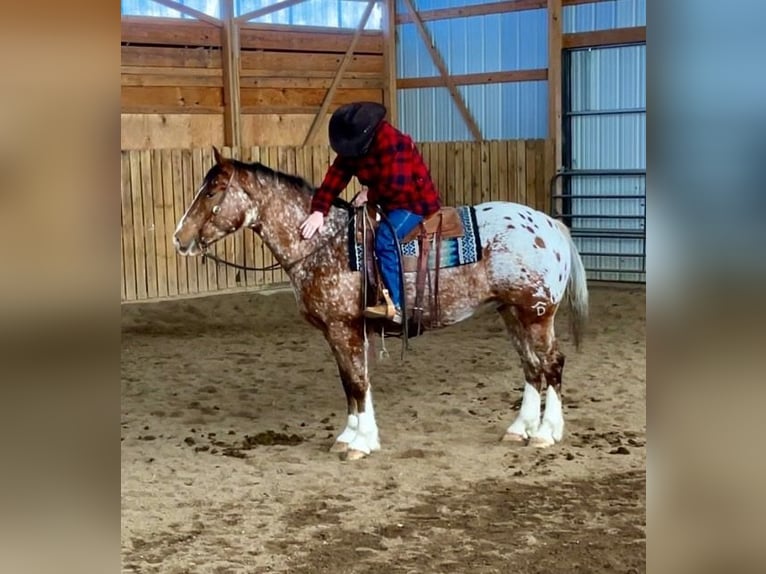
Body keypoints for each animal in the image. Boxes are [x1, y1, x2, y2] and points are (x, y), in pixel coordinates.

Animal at [174, 148, 592, 464]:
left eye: (213, 192)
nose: (180, 238)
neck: (324, 244)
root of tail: (550, 224)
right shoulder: (340, 331)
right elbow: (350, 382)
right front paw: (350, 436)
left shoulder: (343, 327)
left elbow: (357, 382)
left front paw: (361, 442)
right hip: (511, 312)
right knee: (532, 367)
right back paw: (520, 429)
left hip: (536, 313)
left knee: (552, 364)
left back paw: (546, 433)